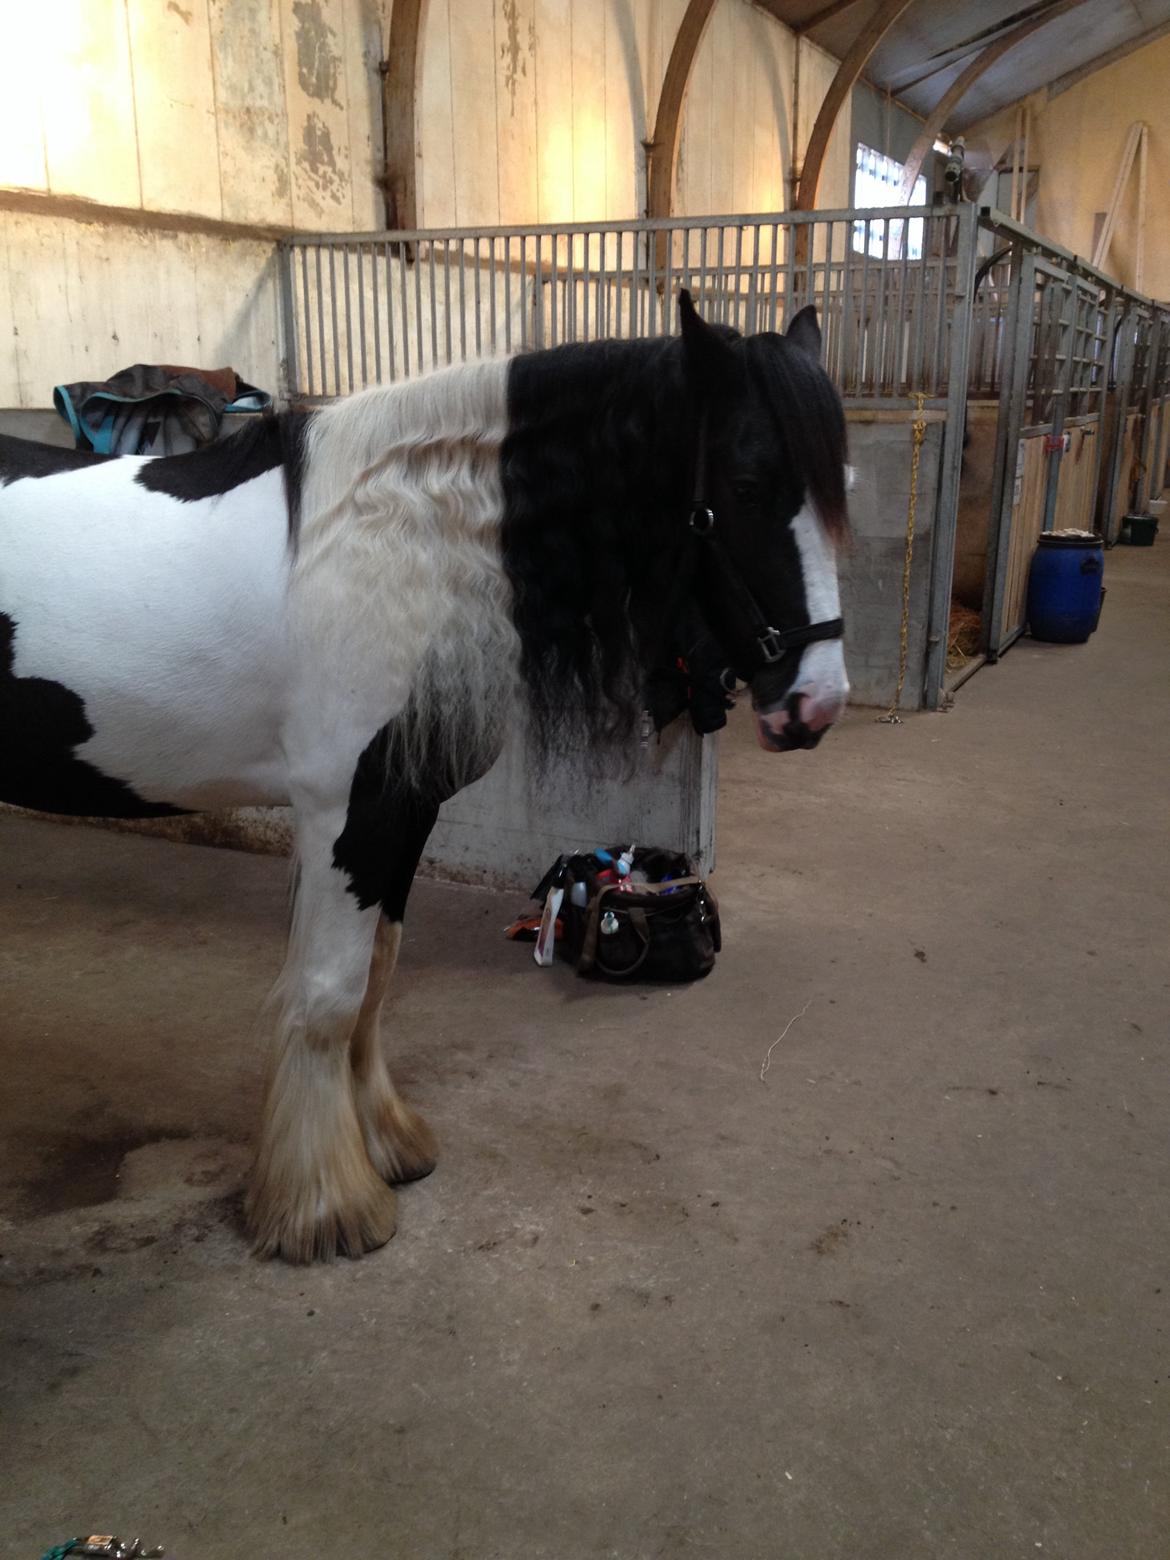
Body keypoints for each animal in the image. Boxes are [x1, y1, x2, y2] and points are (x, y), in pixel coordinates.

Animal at [0, 297, 848, 1260]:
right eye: (745, 486)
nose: (816, 704)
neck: (401, 542)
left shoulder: (402, 812)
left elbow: (376, 980)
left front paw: (386, 1146)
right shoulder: (345, 812)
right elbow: (330, 996)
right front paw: (325, 1206)